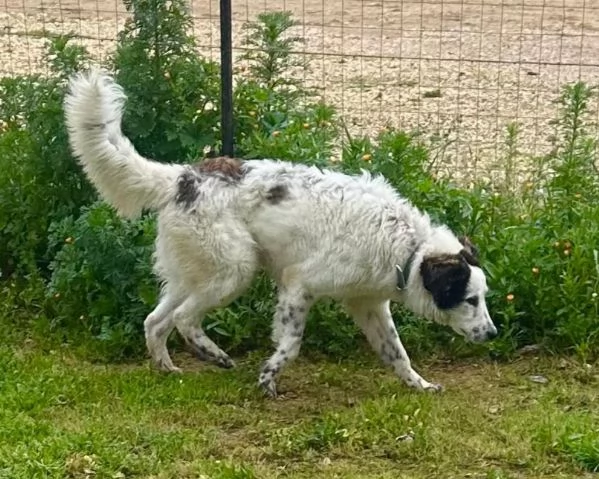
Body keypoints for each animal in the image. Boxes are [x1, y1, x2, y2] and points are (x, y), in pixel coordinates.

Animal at [63, 68, 500, 398]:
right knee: (185, 320)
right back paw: (214, 355)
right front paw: (268, 378)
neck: (406, 246)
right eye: (470, 299)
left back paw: (167, 369)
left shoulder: (369, 305)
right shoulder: (299, 287)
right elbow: (290, 346)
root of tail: (183, 177)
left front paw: (419, 385)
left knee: (155, 322)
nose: (493, 333)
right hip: (235, 270)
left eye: (482, 298)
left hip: (193, 275)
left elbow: (398, 354)